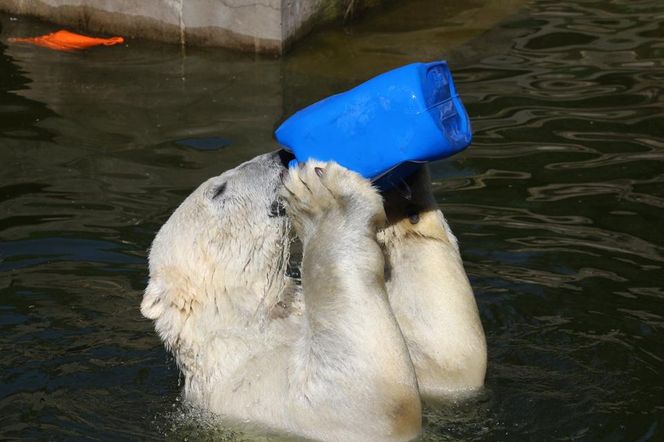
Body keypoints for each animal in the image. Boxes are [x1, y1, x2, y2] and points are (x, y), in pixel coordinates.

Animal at [140, 150, 482, 440]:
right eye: (219, 189)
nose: (282, 155)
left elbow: (447, 361)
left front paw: (403, 187)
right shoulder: (251, 392)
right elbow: (369, 402)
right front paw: (327, 198)